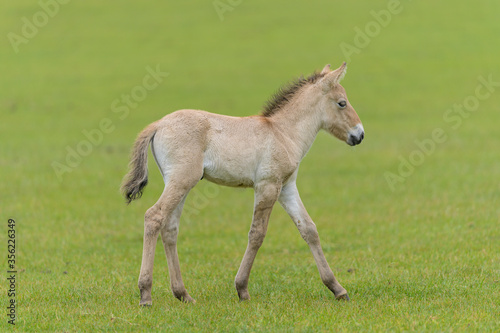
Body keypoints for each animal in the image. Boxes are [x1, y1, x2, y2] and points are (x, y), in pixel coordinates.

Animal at [121, 62, 364, 306]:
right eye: (342, 103)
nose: (360, 134)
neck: (283, 132)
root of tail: (158, 124)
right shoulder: (267, 186)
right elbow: (257, 234)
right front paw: (242, 289)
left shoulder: (286, 187)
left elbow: (309, 229)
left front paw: (337, 289)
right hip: (181, 181)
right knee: (154, 216)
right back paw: (145, 294)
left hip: (179, 184)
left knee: (170, 228)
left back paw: (183, 294)